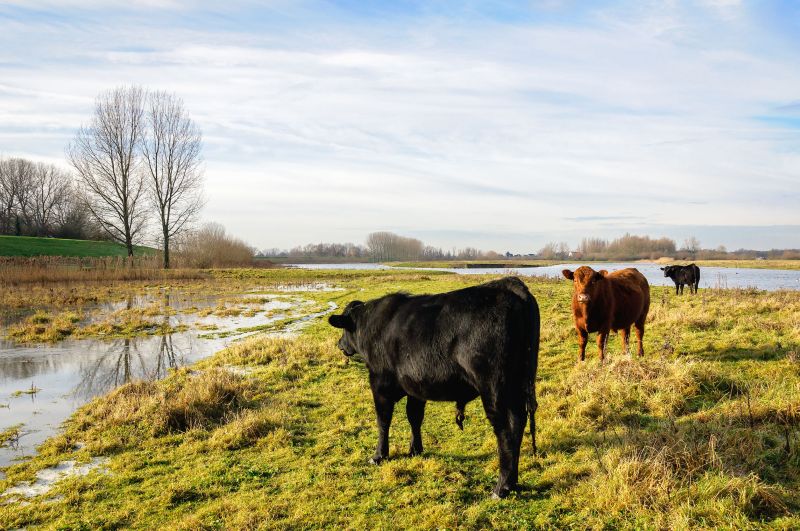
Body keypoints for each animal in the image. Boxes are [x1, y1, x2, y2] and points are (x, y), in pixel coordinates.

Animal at [328, 277, 539, 499]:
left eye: (344, 329)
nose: (339, 344)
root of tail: (510, 285)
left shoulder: (379, 383)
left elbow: (383, 420)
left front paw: (379, 455)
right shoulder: (415, 385)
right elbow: (414, 417)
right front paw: (415, 450)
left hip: (494, 388)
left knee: (506, 430)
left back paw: (501, 487)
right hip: (516, 385)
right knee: (519, 422)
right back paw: (512, 482)